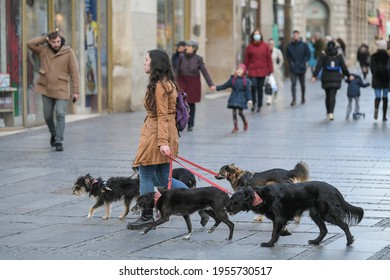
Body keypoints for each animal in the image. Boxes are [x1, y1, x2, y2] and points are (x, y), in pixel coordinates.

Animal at [227, 180, 364, 246]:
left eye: (234, 201)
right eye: (230, 200)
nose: (226, 208)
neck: (260, 196)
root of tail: (333, 189)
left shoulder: (278, 218)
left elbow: (274, 232)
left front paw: (269, 244)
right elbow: (278, 231)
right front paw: (283, 234)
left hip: (327, 214)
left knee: (344, 225)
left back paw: (349, 241)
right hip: (315, 214)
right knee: (324, 230)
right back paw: (315, 241)